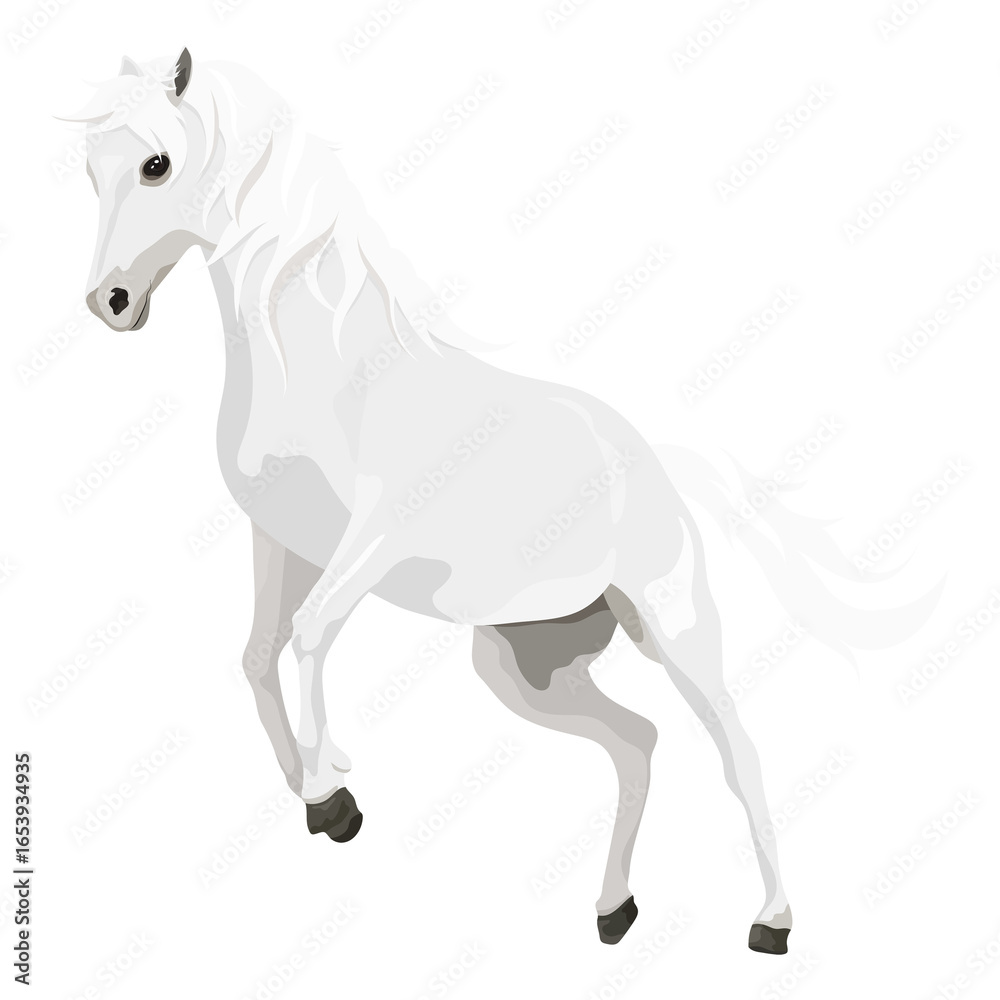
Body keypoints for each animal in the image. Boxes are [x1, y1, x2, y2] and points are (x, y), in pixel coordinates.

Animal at [70, 48, 792, 954]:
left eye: (157, 164)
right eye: (88, 171)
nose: (109, 303)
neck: (323, 370)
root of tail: (654, 465)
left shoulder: (372, 545)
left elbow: (309, 635)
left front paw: (332, 800)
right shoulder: (279, 539)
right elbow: (258, 654)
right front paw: (308, 781)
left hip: (674, 628)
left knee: (739, 752)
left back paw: (772, 922)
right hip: (525, 667)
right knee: (638, 743)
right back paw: (614, 909)